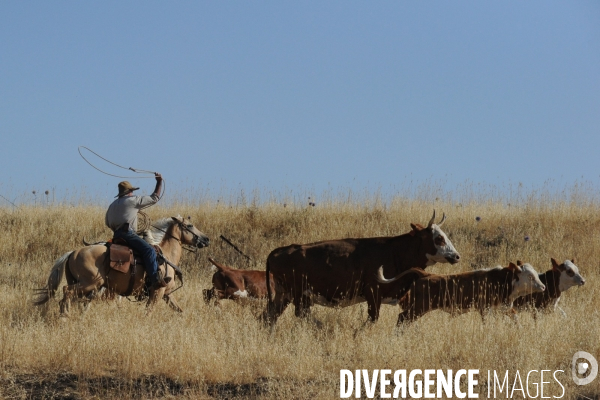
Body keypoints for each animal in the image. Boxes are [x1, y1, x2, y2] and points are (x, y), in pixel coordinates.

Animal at [35, 216, 210, 316]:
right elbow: (148, 312)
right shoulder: (157, 292)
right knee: (67, 292)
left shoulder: (166, 294)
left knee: (71, 298)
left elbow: (179, 310)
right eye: (190, 225)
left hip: (82, 285)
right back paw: (65, 316)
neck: (165, 255)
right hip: (89, 283)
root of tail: (73, 252)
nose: (206, 239)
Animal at [262, 209, 460, 324]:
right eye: (439, 238)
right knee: (300, 316)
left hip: (283, 296)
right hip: (298, 295)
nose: (456, 256)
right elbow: (372, 319)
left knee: (268, 318)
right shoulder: (373, 292)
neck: (394, 251)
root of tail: (280, 250)